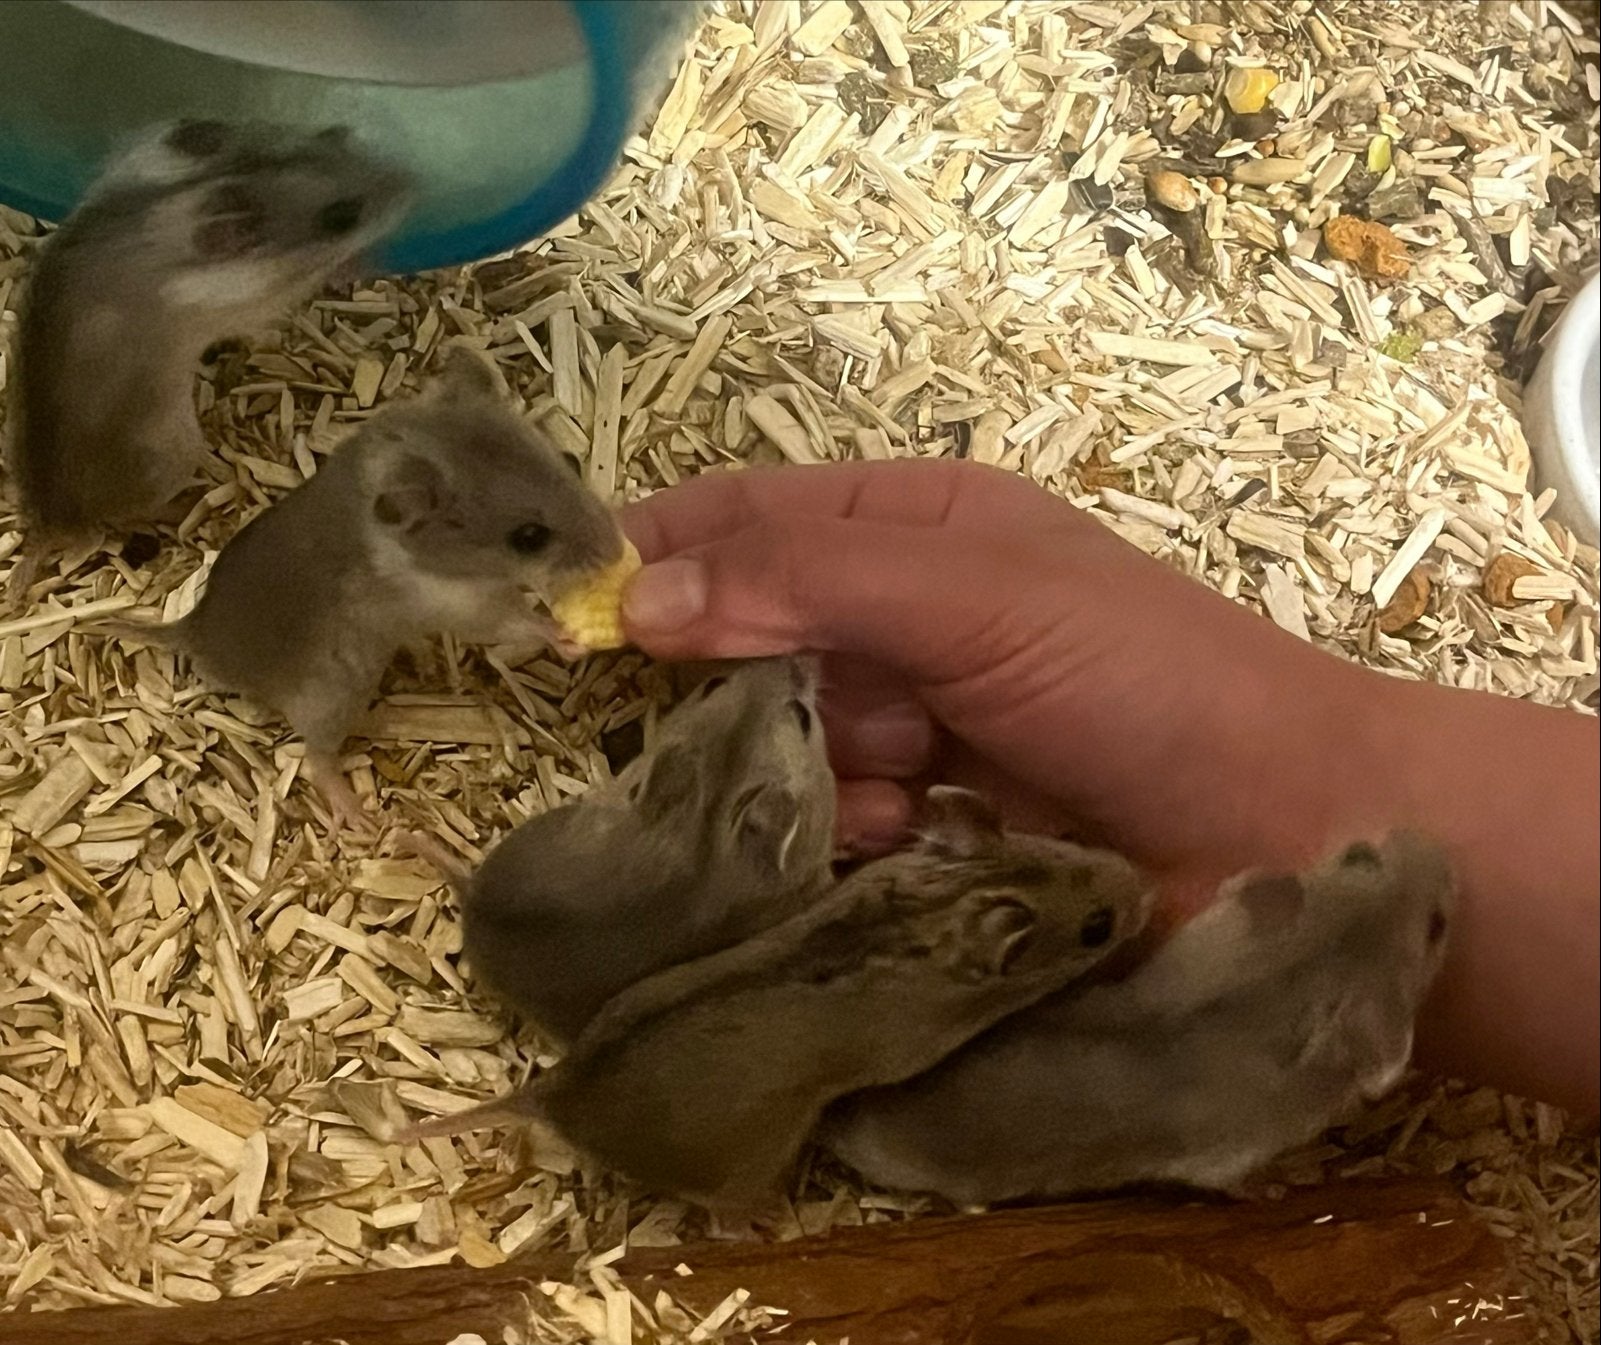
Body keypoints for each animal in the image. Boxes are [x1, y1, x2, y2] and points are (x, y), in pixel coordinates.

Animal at [4, 118, 410, 586]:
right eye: (342, 216)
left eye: (336, 134)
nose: (414, 183)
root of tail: (48, 524)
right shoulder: (248, 304)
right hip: (174, 453)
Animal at [102, 349, 624, 831]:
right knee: (316, 761)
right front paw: (568, 638)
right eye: (529, 537)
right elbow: (519, 622)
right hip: (333, 698)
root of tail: (191, 632)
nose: (618, 550)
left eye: (571, 461)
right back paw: (359, 817)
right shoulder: (461, 606)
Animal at [408, 786, 1157, 1214]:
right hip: (743, 1171)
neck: (930, 916)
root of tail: (553, 1095)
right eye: (1097, 927)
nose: (1147, 888)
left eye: (1069, 841)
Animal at [822, 832, 1455, 1206]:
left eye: (1360, 856)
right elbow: (1241, 1183)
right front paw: (1285, 1186)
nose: (1432, 835)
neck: (1291, 976)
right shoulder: (1228, 1155)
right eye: (1437, 928)